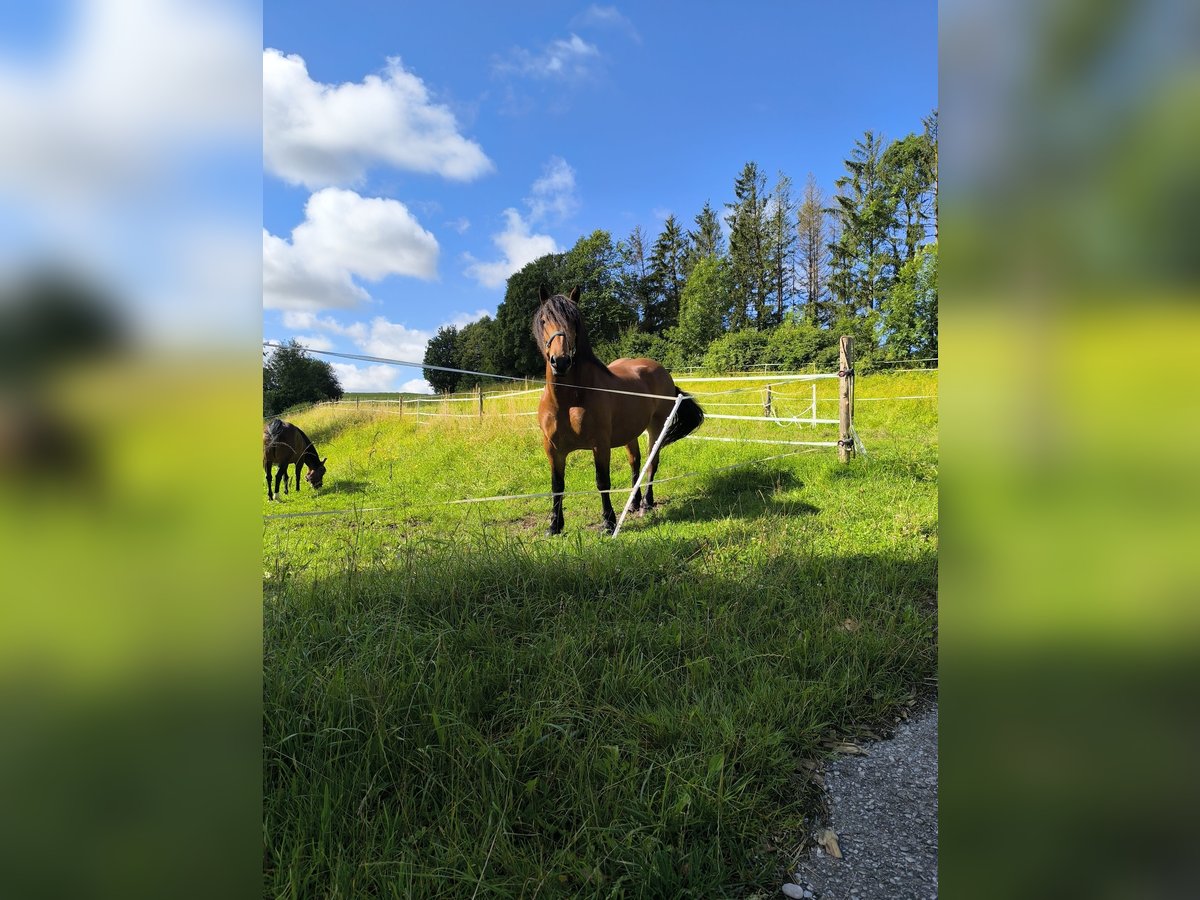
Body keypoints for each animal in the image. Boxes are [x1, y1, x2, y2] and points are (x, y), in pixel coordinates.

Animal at [535, 285, 700, 535]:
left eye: (574, 321)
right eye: (544, 320)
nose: (560, 362)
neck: (569, 399)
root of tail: (661, 371)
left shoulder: (600, 445)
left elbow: (602, 482)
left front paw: (608, 523)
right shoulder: (553, 449)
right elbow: (557, 485)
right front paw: (554, 526)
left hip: (656, 428)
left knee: (652, 463)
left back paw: (646, 504)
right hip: (630, 434)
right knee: (636, 463)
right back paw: (633, 503)